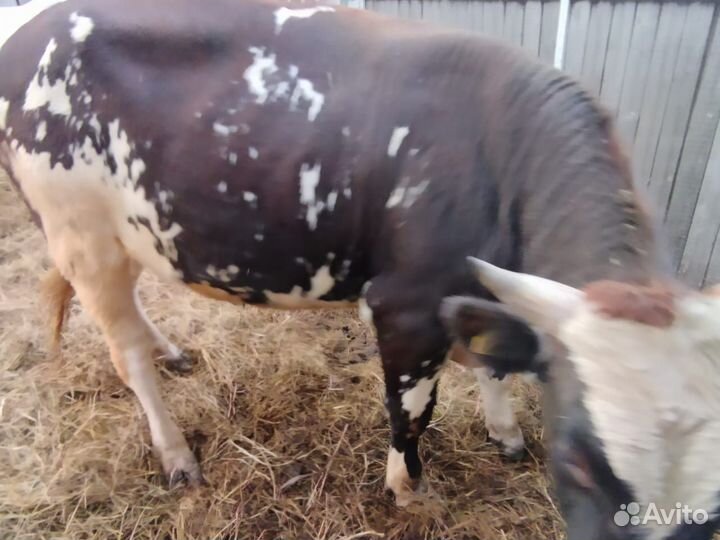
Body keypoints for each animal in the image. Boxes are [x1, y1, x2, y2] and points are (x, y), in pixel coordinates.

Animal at [1, 0, 720, 538]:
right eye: (576, 461)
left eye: (709, 511)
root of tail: (35, 20)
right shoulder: (406, 301)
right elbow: (413, 412)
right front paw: (410, 489)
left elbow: (492, 358)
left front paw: (505, 430)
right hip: (80, 233)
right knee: (124, 353)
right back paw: (176, 452)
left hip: (127, 233)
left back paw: (172, 350)